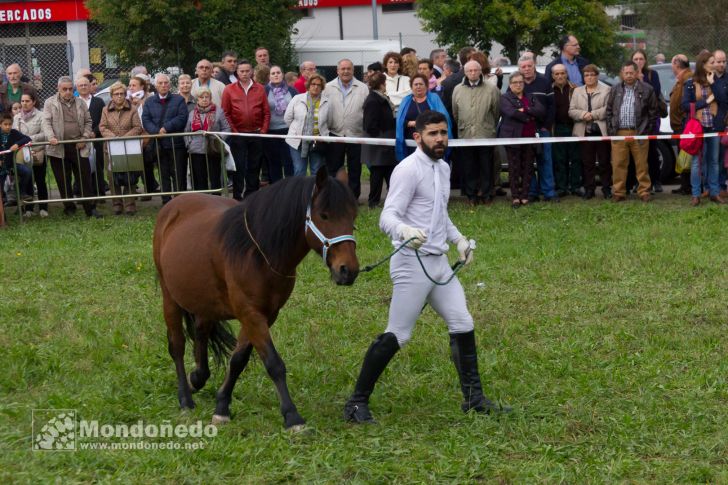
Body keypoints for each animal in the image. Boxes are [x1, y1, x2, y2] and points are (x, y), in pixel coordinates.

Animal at [153, 168, 358, 430]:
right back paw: (185, 398)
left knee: (201, 332)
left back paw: (198, 377)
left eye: (352, 216)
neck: (256, 252)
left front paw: (222, 406)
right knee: (177, 345)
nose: (348, 270)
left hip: (204, 301)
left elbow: (238, 360)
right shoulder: (250, 313)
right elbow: (273, 363)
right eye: (324, 215)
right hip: (170, 297)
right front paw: (292, 416)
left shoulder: (265, 315)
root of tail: (174, 204)